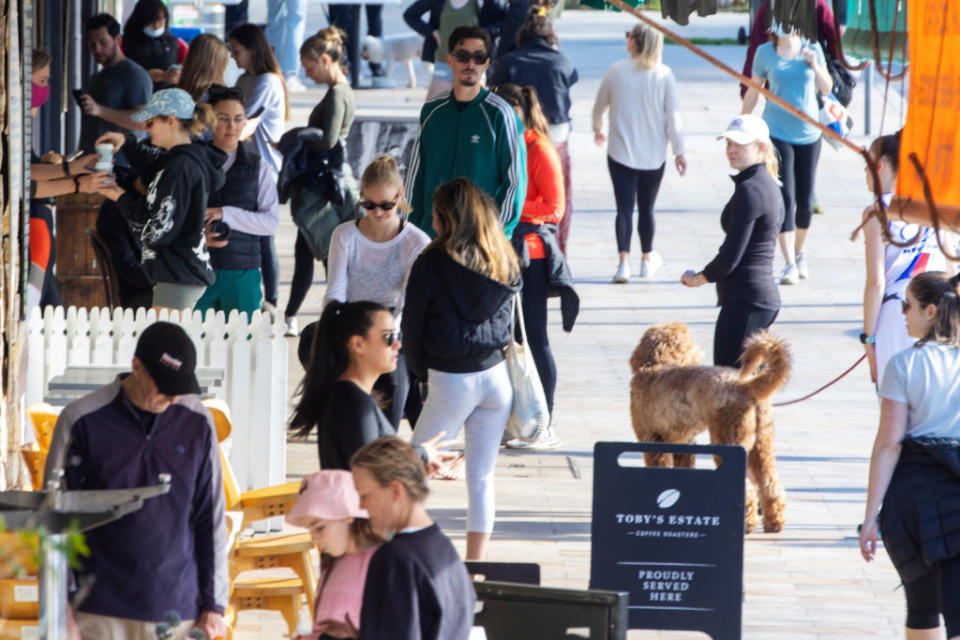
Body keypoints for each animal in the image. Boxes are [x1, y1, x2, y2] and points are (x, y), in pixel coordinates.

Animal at [632, 322, 788, 532]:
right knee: (770, 485)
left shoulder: (652, 440)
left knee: (747, 489)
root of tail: (747, 388)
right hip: (762, 443)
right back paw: (774, 522)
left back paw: (747, 523)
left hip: (729, 441)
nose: (700, 353)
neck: (655, 366)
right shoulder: (684, 443)